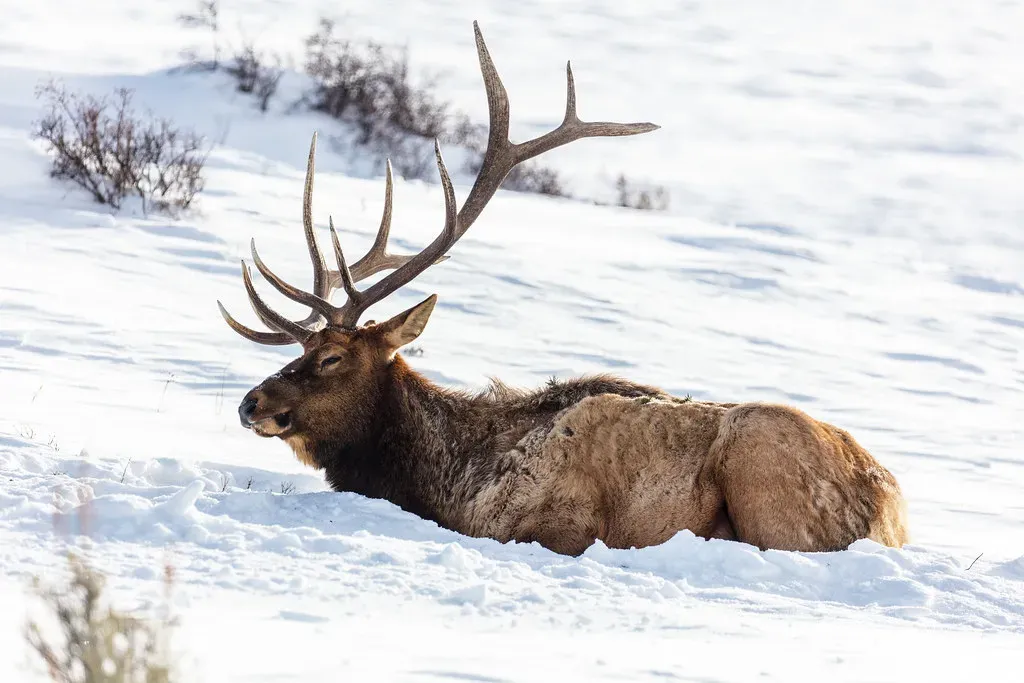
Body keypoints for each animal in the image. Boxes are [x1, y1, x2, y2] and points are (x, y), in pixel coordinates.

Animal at [217, 21, 909, 556]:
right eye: (299, 349)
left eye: (331, 358)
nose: (250, 402)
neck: (452, 478)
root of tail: (886, 503)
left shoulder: (555, 524)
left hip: (761, 468)